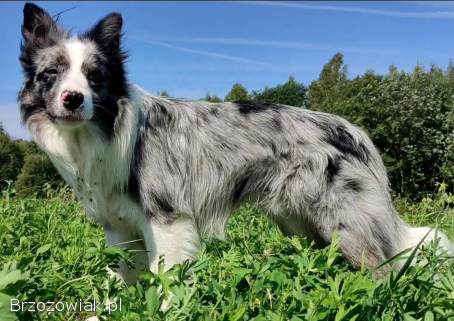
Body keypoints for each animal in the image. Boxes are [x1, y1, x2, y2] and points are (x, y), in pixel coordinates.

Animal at [17, 3, 454, 282]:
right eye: (51, 74)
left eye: (95, 76)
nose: (73, 99)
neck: (103, 133)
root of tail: (354, 131)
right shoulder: (118, 228)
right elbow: (121, 277)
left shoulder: (168, 221)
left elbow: (165, 282)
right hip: (300, 222)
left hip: (343, 222)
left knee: (383, 273)